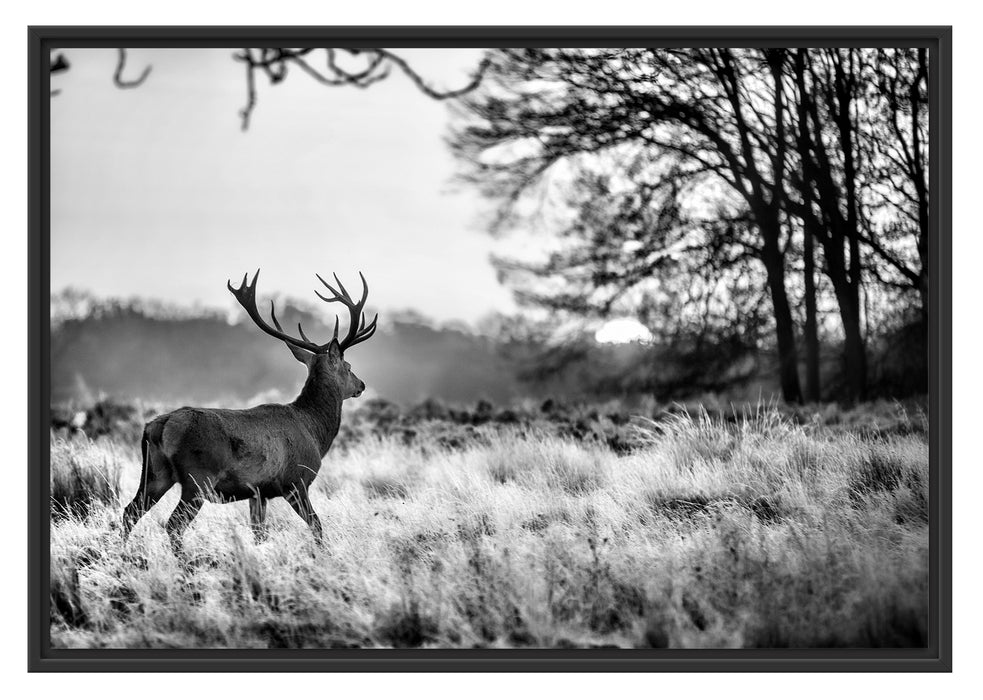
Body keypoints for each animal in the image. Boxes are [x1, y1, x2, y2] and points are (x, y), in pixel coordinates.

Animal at [120, 270, 380, 556]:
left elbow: (259, 534)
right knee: (173, 524)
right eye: (348, 366)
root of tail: (159, 426)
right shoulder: (296, 482)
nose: (362, 385)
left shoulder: (258, 492)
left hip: (154, 474)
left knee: (129, 512)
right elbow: (317, 526)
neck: (314, 430)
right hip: (198, 477)